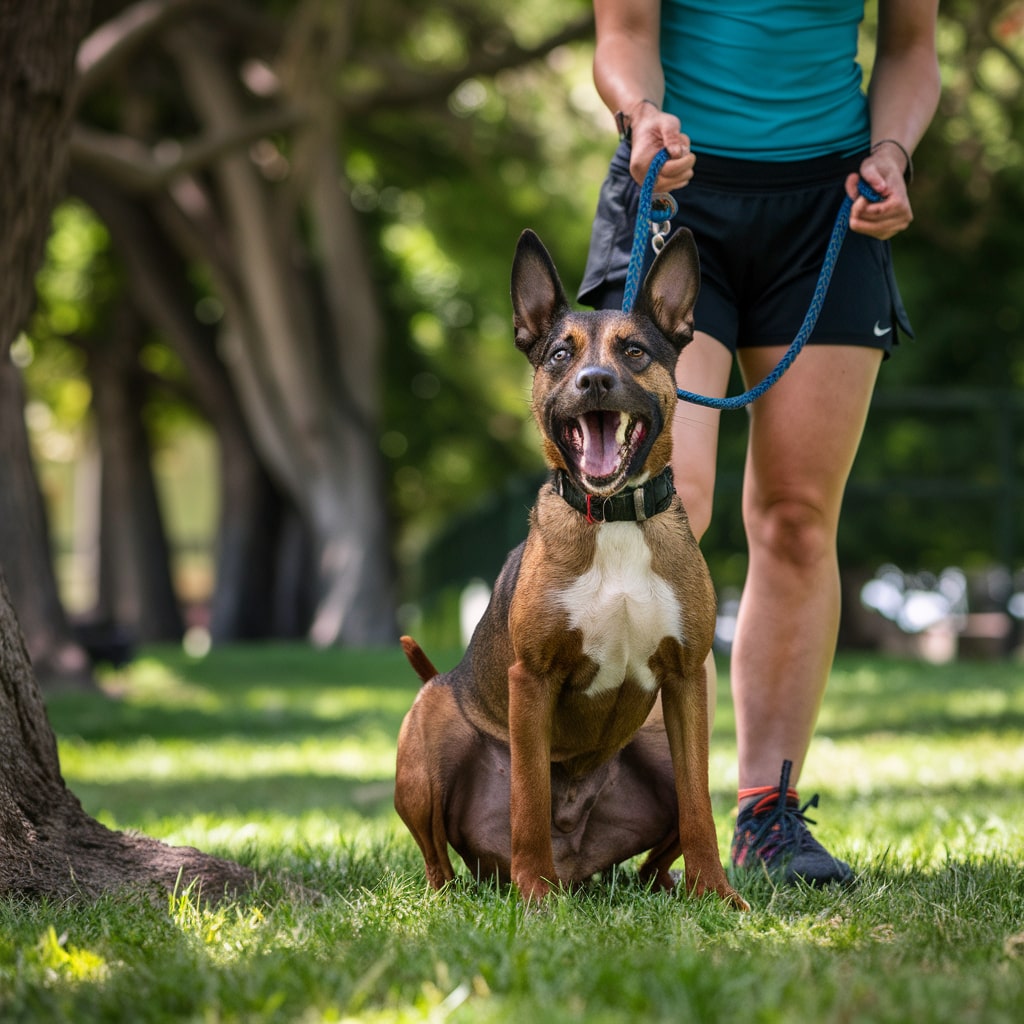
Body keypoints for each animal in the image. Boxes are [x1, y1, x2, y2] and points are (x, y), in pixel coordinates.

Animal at [395, 228, 749, 909]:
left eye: (635, 351)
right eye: (560, 353)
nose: (595, 381)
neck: (613, 517)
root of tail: (581, 864)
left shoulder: (688, 679)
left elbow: (700, 808)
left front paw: (716, 893)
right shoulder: (532, 679)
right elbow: (529, 800)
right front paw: (535, 896)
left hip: (655, 745)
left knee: (654, 859)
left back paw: (669, 886)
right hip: (429, 730)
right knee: (437, 860)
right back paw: (469, 893)